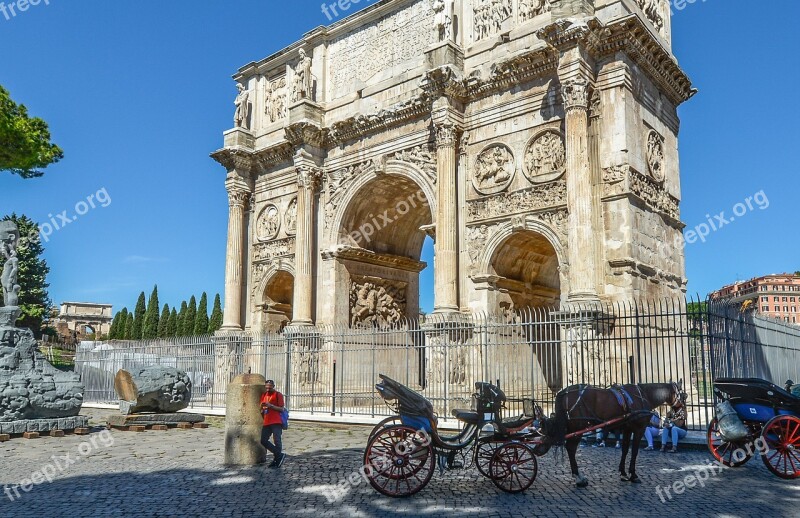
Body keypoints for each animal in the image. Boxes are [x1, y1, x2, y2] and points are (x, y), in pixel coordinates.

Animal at [548, 382, 684, 488]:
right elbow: (634, 451)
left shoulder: (628, 429)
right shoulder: (639, 429)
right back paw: (578, 477)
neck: (643, 395)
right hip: (578, 426)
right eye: (683, 395)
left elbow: (625, 450)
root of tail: (563, 392)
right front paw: (633, 475)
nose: (681, 415)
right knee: (571, 448)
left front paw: (623, 473)